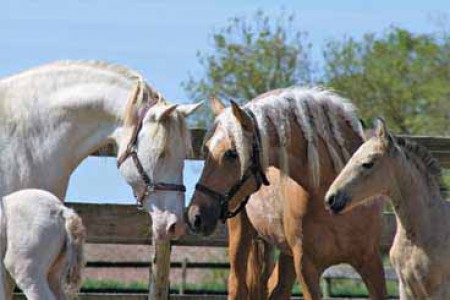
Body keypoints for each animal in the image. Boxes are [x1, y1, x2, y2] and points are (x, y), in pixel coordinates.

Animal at [186, 87, 386, 300]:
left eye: (231, 153)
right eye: (206, 150)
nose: (194, 216)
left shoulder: (371, 261)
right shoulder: (306, 267)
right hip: (242, 236)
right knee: (238, 287)